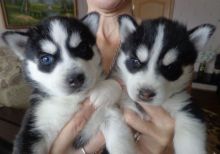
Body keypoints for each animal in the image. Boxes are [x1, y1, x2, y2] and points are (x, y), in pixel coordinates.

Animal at [2, 13, 135, 154]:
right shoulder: (34, 128)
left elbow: (120, 140)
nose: (76, 79)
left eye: (83, 48)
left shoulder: (107, 114)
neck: (71, 100)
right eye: (46, 59)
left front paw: (104, 90)